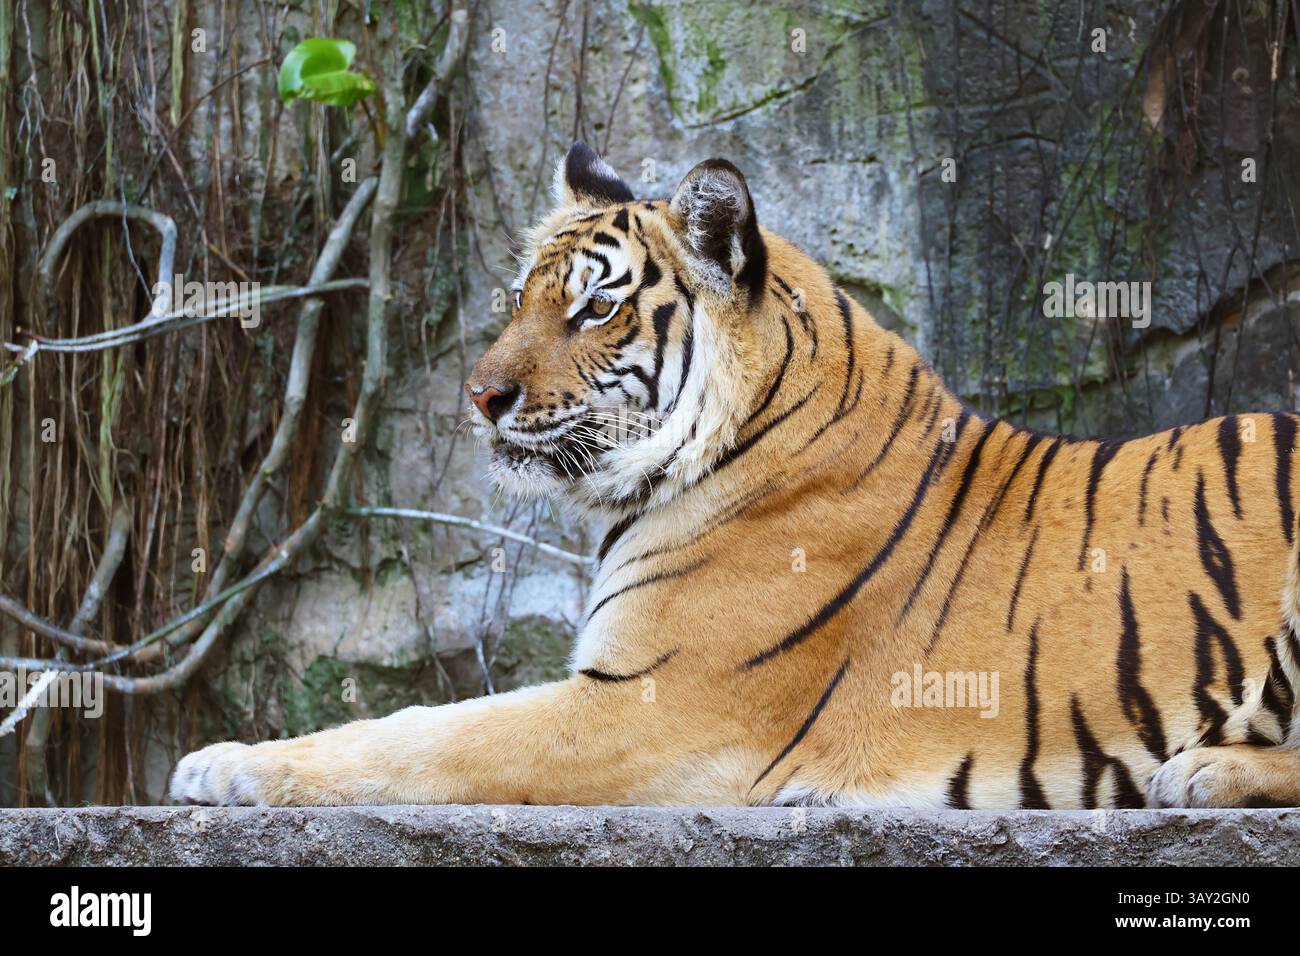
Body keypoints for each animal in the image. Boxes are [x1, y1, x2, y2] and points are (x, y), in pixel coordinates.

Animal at [171, 141, 1300, 810]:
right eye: (523, 296)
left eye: (594, 307)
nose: (479, 395)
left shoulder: (651, 705)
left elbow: (419, 737)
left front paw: (223, 763)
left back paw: (1201, 768)